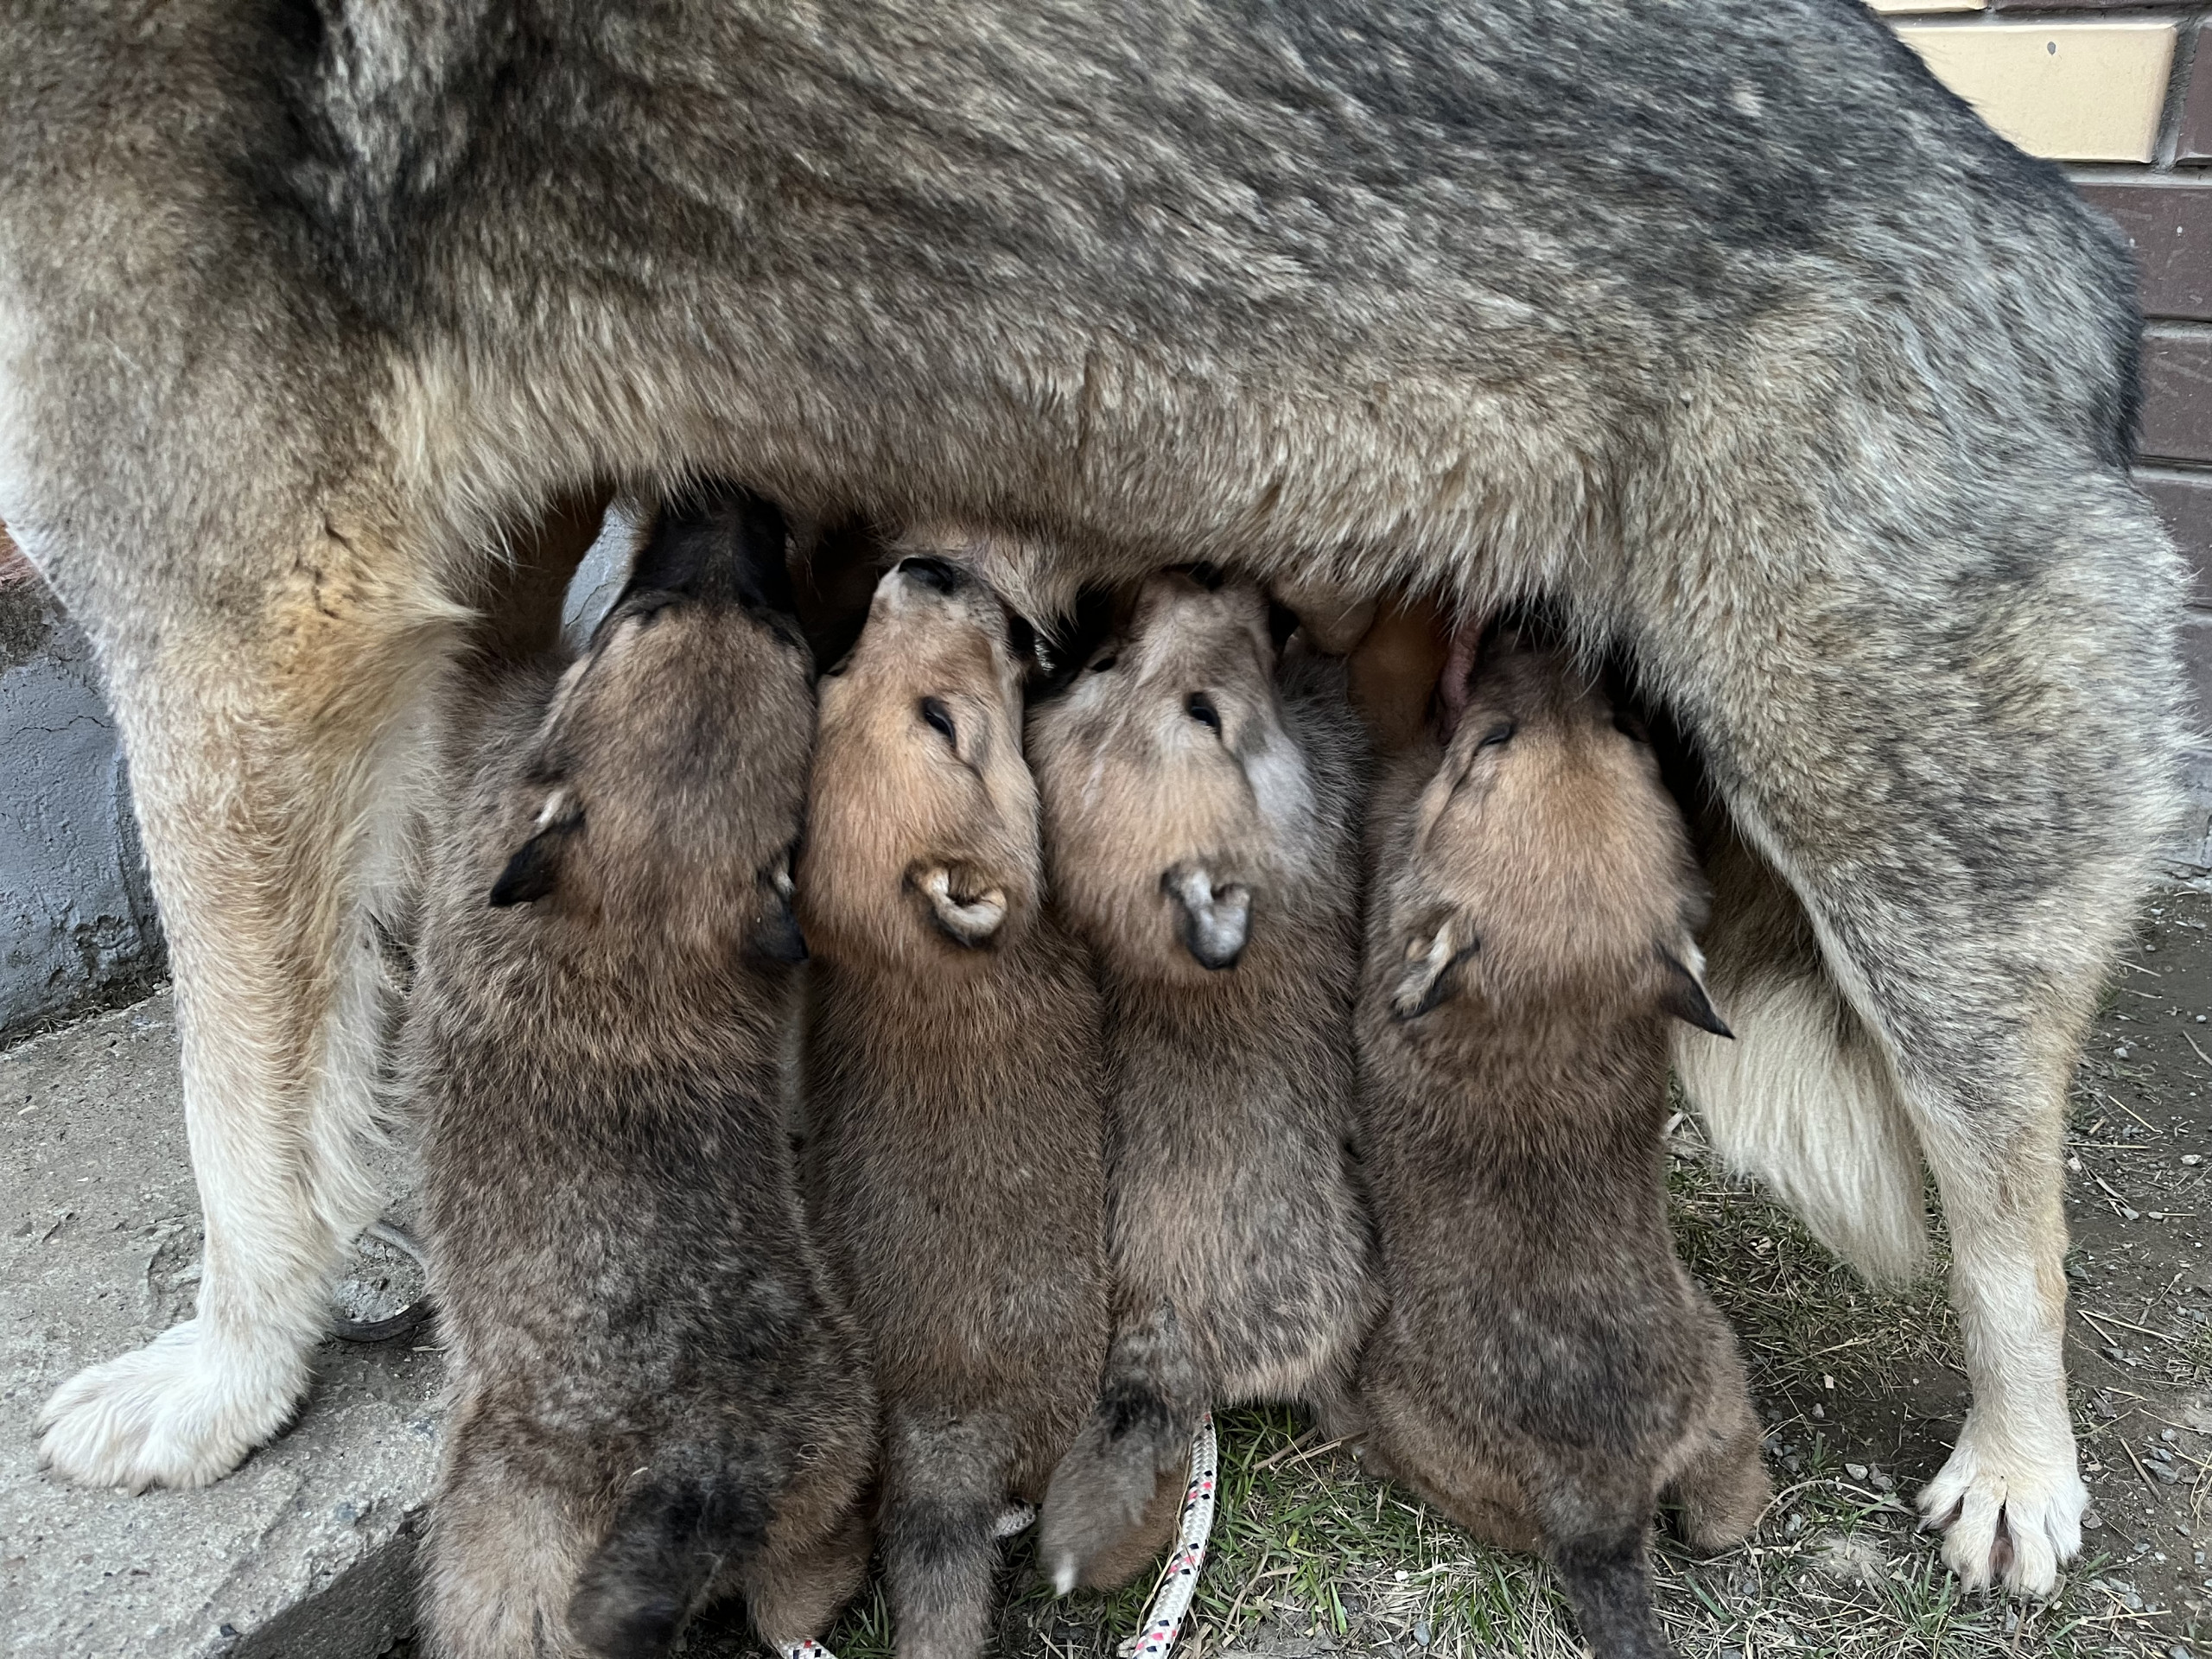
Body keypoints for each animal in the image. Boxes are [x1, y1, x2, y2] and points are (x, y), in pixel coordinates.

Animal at [409, 493, 871, 1659]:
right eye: (651, 608)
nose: (734, 501)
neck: (640, 921)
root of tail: (695, 1477)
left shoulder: (487, 727)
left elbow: (493, 624)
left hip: (495, 1563)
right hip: (828, 1467)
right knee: (802, 1586)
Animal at [1344, 628, 1760, 1659]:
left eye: (1487, 741)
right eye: (1626, 728)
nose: (1534, 637)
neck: (1550, 1021)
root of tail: (1602, 1506)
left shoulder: (1393, 833)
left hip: (1407, 1412)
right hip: (1719, 1382)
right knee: (1727, 1512)